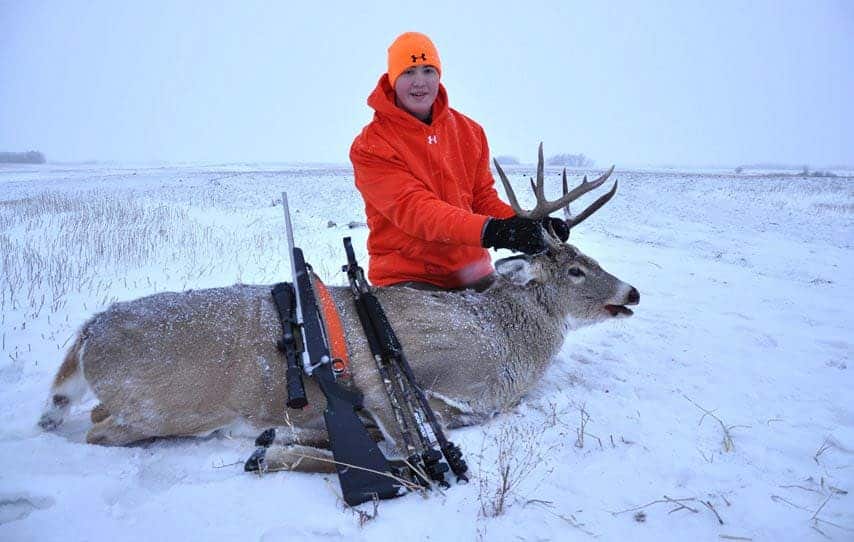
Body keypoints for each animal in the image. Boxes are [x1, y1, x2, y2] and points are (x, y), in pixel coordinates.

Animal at [40, 146, 640, 476]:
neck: (504, 339)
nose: (632, 293)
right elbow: (420, 436)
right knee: (96, 425)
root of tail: (87, 332)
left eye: (589, 260)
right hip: (163, 405)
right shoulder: (396, 377)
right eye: (575, 270)